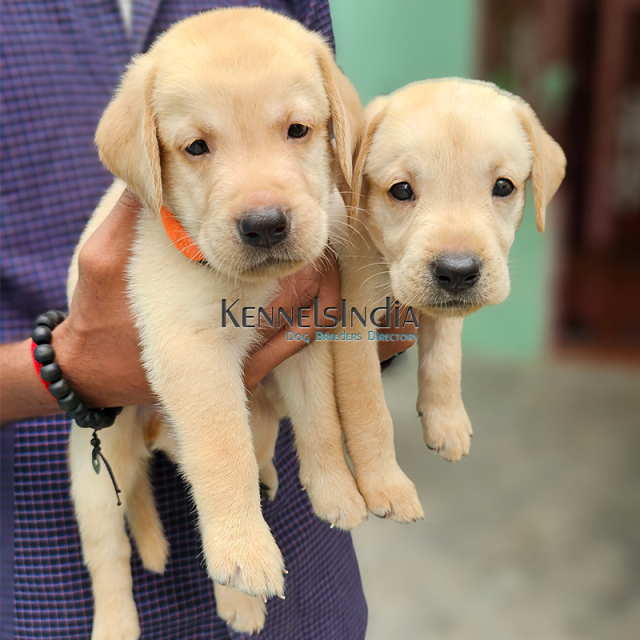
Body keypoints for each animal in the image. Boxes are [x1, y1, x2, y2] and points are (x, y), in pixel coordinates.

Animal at [66, 7, 376, 636]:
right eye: (196, 147)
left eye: (298, 130)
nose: (265, 225)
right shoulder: (190, 349)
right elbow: (220, 448)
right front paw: (245, 551)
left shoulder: (304, 332)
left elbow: (320, 418)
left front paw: (334, 488)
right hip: (95, 471)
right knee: (109, 552)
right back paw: (126, 619)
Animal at [336, 80, 564, 488]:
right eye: (401, 190)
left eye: (503, 186)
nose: (457, 272)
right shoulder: (352, 324)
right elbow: (368, 410)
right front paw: (385, 485)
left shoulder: (445, 311)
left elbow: (444, 357)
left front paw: (446, 421)